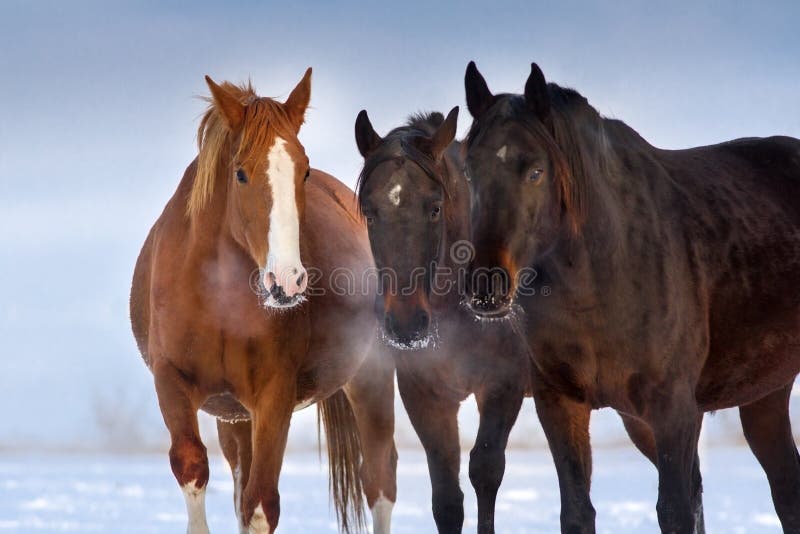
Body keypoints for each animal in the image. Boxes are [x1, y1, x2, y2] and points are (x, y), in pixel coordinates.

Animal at [129, 70, 400, 532]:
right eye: (240, 174)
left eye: (304, 171)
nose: (287, 281)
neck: (219, 302)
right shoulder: (172, 382)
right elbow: (194, 470)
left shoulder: (274, 396)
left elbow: (260, 505)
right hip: (235, 419)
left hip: (371, 380)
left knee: (380, 479)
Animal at [354, 107, 664, 532]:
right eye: (370, 212)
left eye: (434, 207)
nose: (406, 324)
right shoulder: (425, 394)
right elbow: (446, 499)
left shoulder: (503, 386)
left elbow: (485, 470)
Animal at [462, 60, 800, 532]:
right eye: (468, 170)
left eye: (535, 172)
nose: (486, 286)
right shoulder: (561, 403)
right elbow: (577, 512)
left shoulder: (675, 411)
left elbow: (675, 510)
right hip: (764, 395)